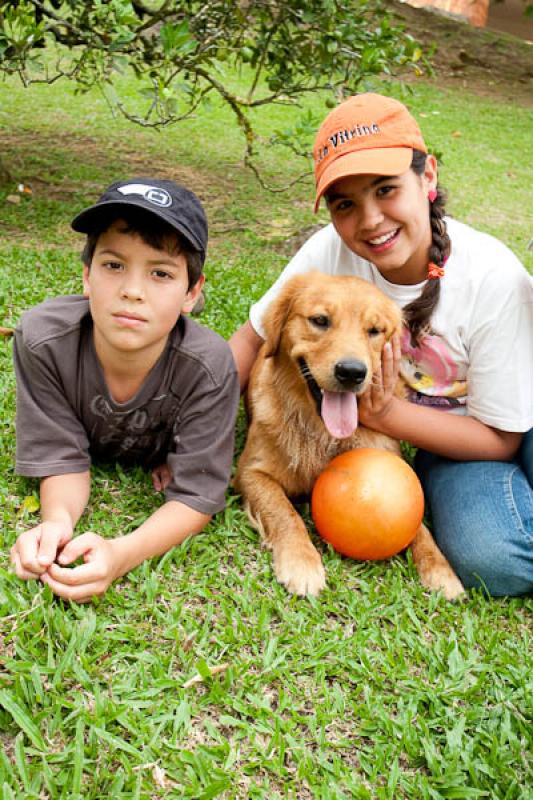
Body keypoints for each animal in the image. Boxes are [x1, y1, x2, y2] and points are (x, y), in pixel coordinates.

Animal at [235, 272, 464, 596]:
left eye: (374, 330)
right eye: (320, 320)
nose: (352, 372)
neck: (321, 430)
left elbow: (419, 524)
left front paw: (441, 570)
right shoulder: (250, 472)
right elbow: (283, 511)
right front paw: (301, 561)